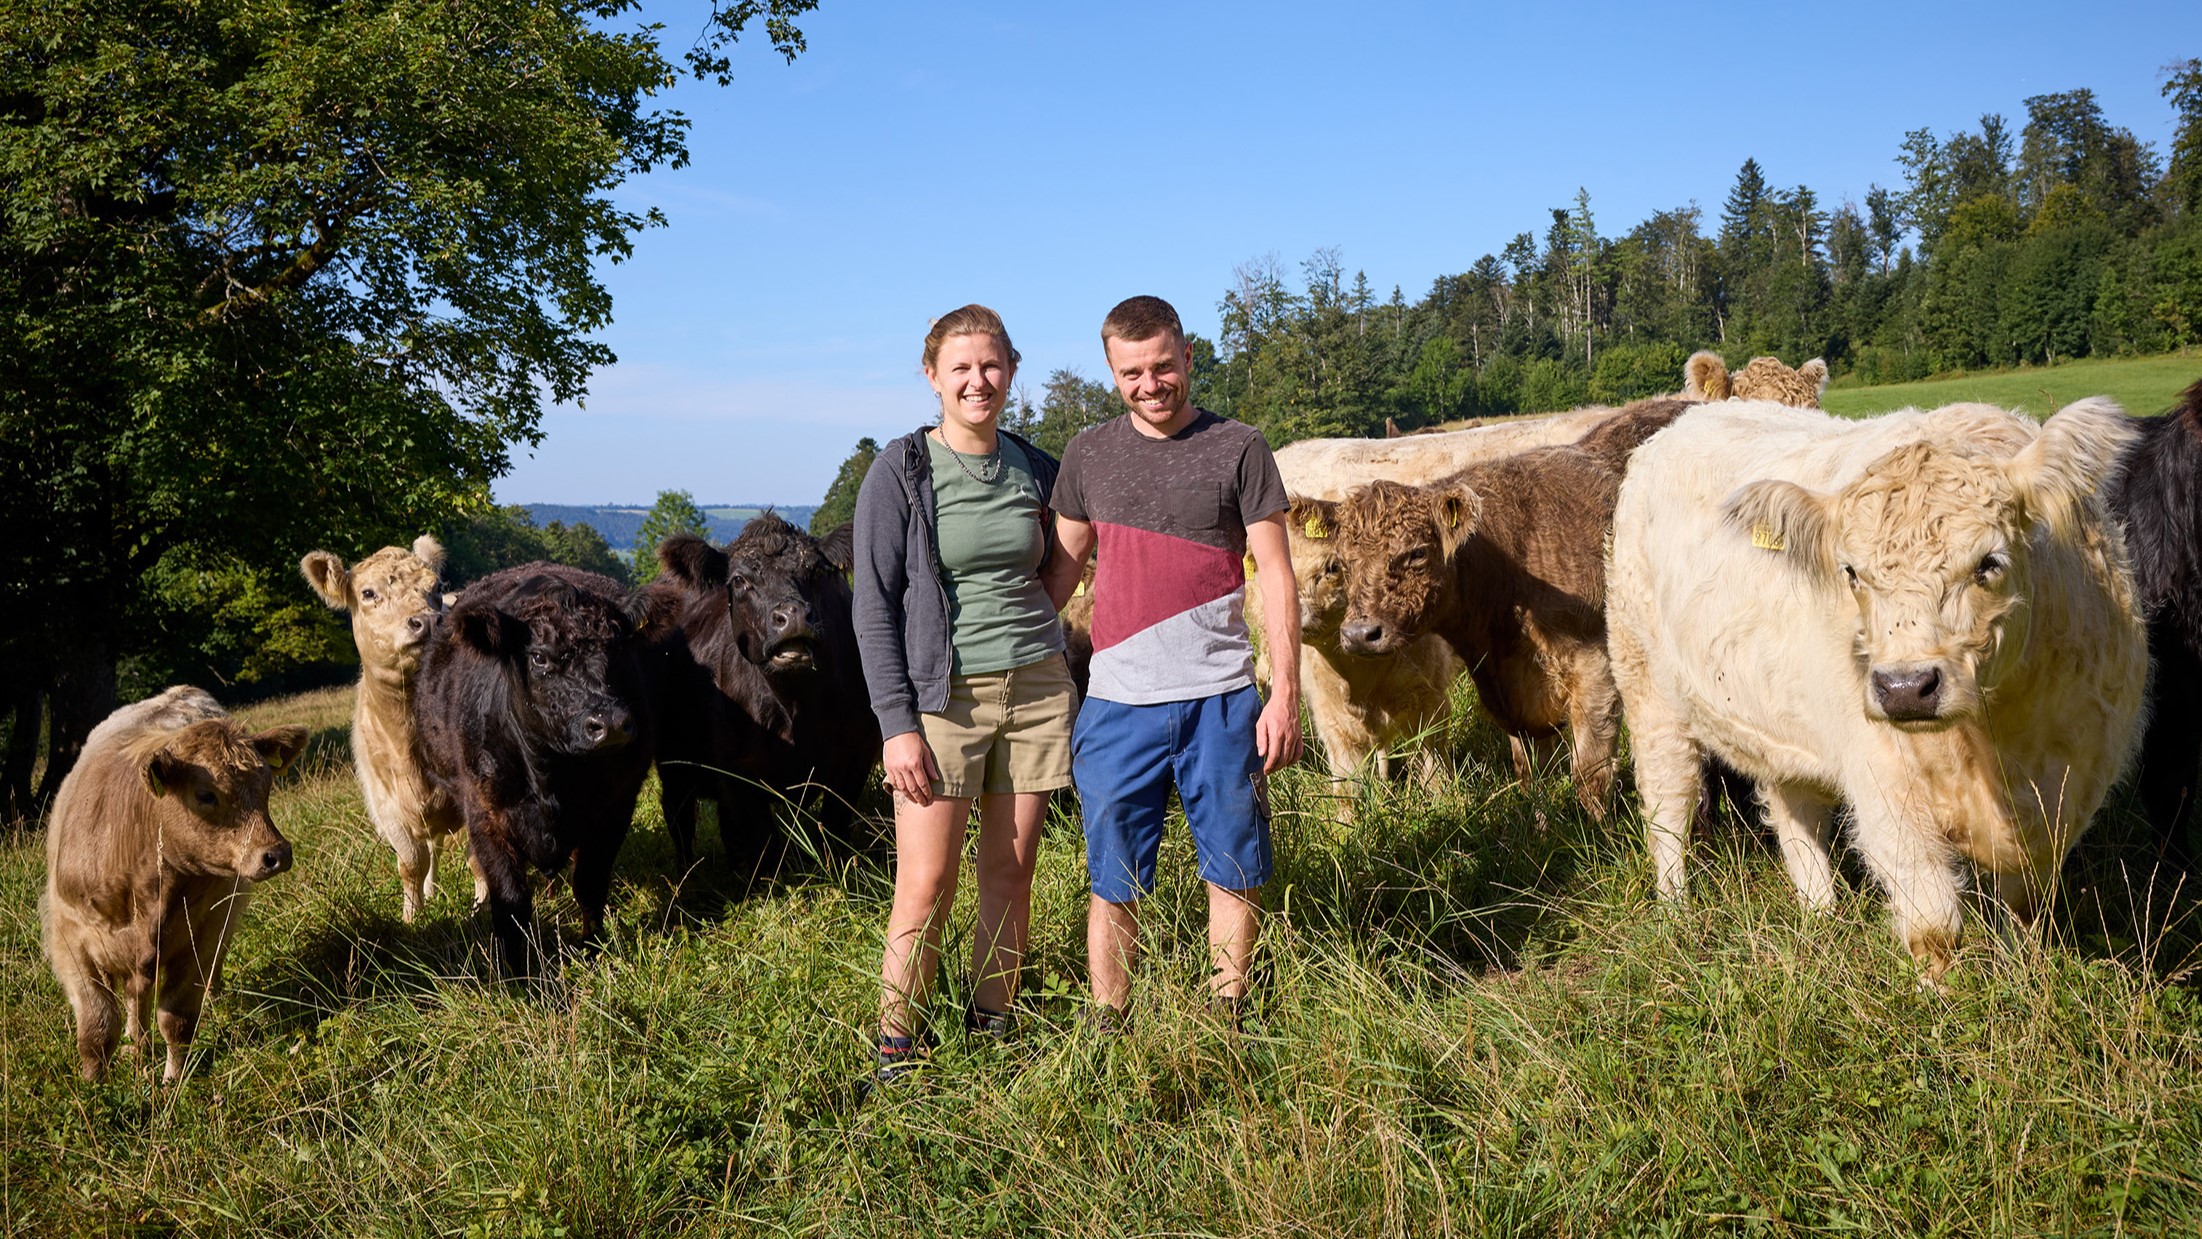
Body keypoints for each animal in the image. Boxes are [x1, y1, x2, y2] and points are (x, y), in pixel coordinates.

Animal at [41, 682, 306, 1082]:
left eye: (267, 786)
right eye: (205, 794)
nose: (277, 853)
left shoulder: (201, 935)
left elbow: (176, 1020)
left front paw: (174, 1080)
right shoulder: (70, 937)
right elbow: (98, 1024)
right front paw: (93, 1085)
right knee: (135, 998)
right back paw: (136, 1047)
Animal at [413, 563, 651, 981]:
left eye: (618, 648)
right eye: (539, 657)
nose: (610, 723)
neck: (553, 776)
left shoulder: (616, 808)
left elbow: (590, 883)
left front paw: (593, 950)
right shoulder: (485, 816)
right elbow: (511, 901)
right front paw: (517, 976)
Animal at [642, 514, 876, 871]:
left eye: (816, 572)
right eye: (739, 580)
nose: (793, 617)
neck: (797, 706)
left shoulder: (856, 758)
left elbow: (834, 833)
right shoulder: (738, 772)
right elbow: (764, 845)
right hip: (673, 764)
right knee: (680, 822)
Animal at [1611, 398, 2140, 981]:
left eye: (1990, 563)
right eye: (1851, 573)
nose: (1906, 688)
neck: (1997, 743)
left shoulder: (2072, 783)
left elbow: (2027, 909)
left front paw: (2022, 973)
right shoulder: (1885, 783)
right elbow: (1934, 924)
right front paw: (1942, 999)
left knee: (1794, 813)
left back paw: (1822, 916)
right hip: (1646, 685)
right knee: (1669, 802)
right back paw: (1676, 911)